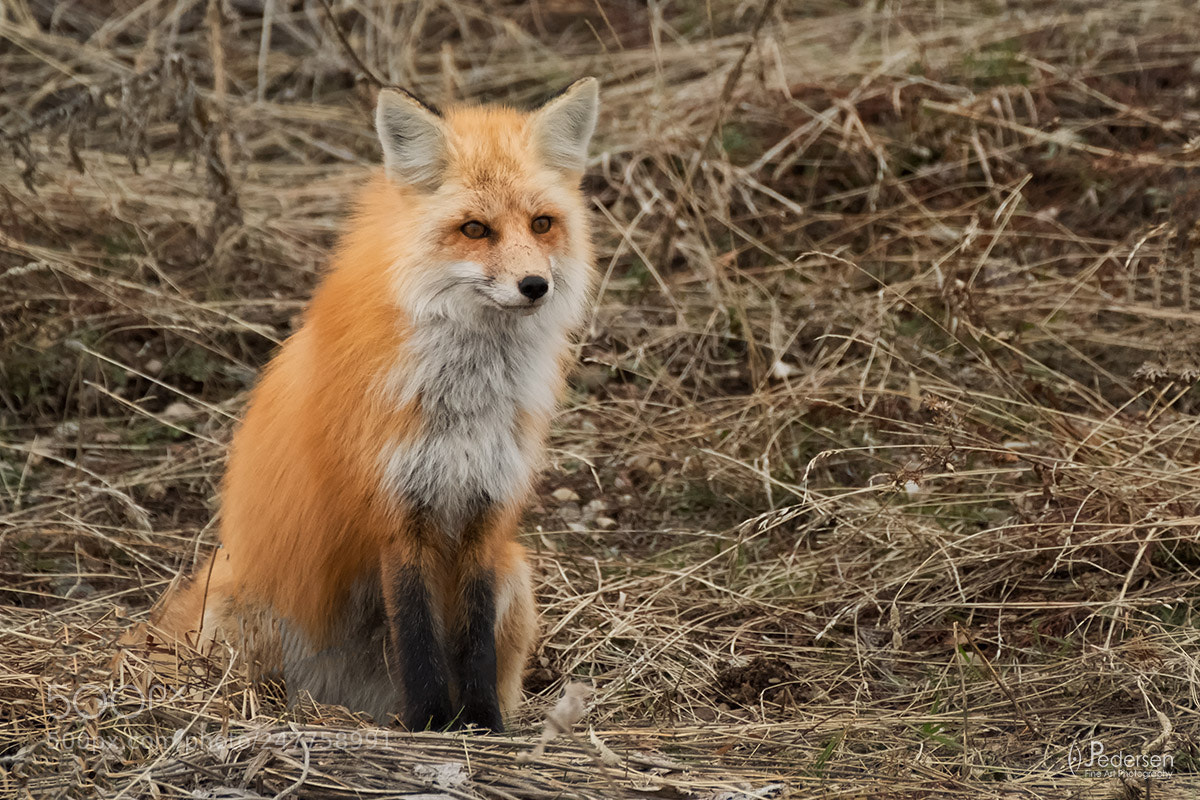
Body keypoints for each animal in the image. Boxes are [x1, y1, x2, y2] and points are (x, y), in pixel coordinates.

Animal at [124, 78, 600, 733]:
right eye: (476, 230)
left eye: (543, 223)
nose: (535, 286)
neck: (464, 400)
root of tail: (343, 699)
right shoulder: (395, 512)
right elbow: (418, 636)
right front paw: (431, 724)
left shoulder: (485, 513)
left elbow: (472, 641)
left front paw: (479, 725)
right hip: (246, 617)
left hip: (517, 570)